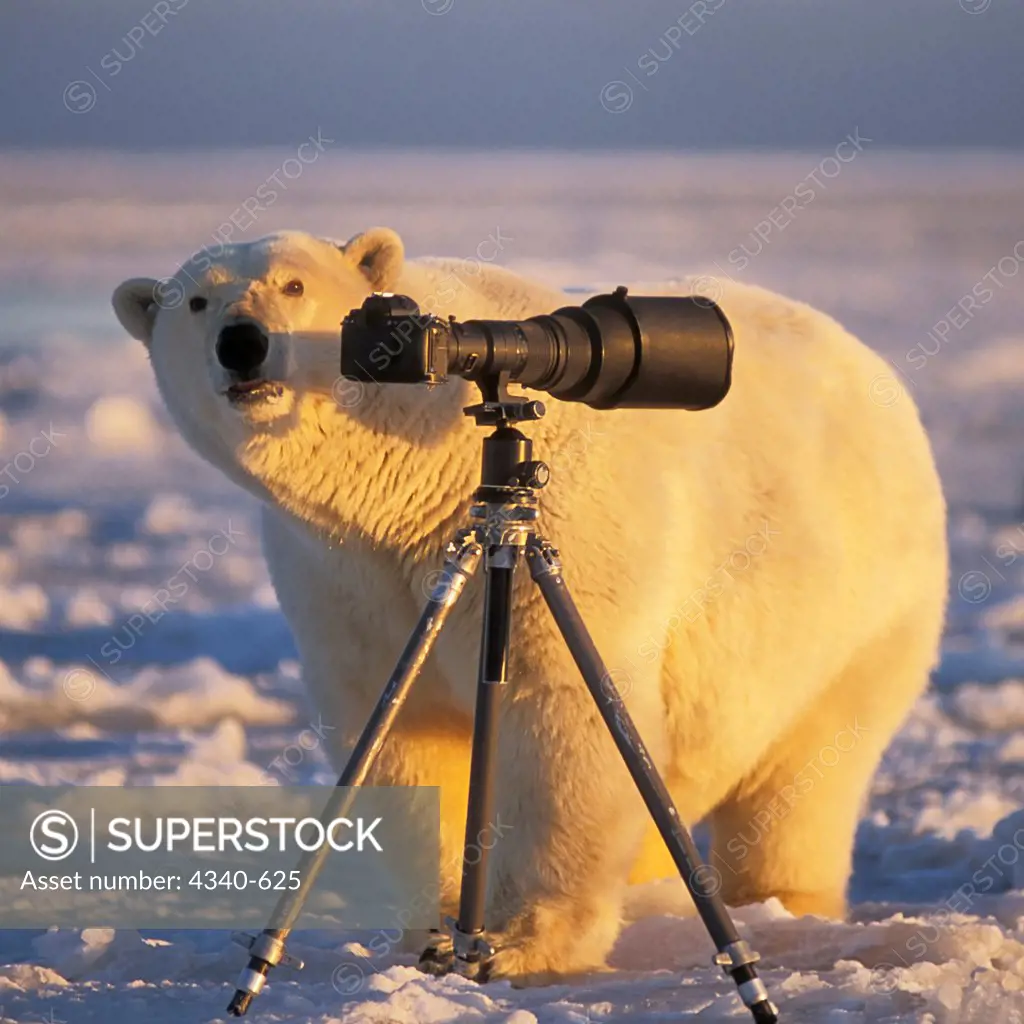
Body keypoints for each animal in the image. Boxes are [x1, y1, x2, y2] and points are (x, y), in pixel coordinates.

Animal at [114, 228, 950, 978]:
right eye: (197, 301)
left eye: (292, 284)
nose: (242, 343)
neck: (423, 471)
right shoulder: (342, 574)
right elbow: (400, 729)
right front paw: (432, 930)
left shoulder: (578, 530)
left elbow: (565, 715)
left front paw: (524, 944)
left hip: (858, 615)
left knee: (806, 777)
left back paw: (783, 904)